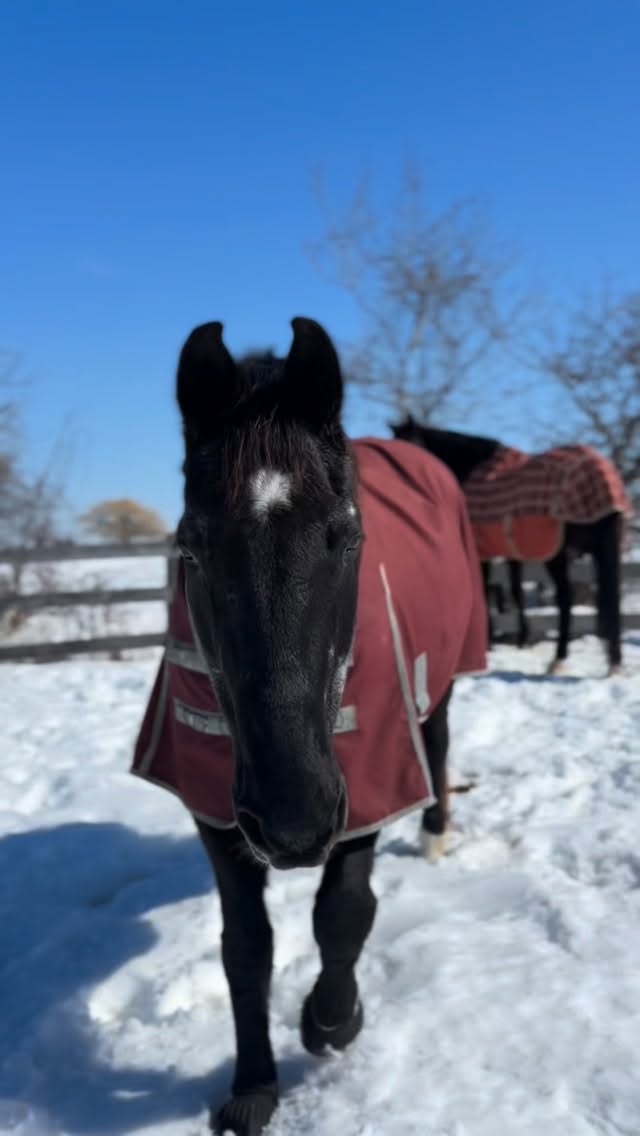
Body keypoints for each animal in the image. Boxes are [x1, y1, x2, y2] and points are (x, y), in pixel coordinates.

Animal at [132, 318, 487, 1136]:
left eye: (346, 536)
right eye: (191, 546)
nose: (293, 823)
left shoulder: (371, 775)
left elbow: (344, 912)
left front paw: (331, 1021)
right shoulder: (213, 797)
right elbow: (246, 946)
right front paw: (254, 1087)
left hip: (443, 686)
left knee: (440, 749)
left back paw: (436, 836)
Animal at [390, 414, 632, 675]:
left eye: (409, 446)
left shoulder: (482, 553)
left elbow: (487, 592)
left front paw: (490, 644)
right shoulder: (511, 553)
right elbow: (515, 591)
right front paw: (520, 638)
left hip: (559, 554)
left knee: (567, 599)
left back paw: (561, 659)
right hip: (599, 550)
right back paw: (610, 662)